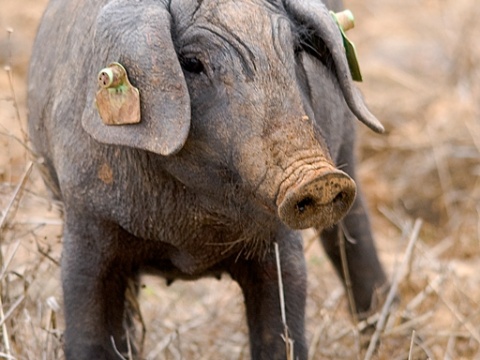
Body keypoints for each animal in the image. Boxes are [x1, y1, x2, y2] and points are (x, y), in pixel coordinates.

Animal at [26, 0, 388, 360]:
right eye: (191, 63)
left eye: (296, 49)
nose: (320, 177)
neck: (186, 242)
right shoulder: (85, 218)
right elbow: (87, 328)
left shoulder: (279, 240)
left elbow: (284, 326)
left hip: (348, 153)